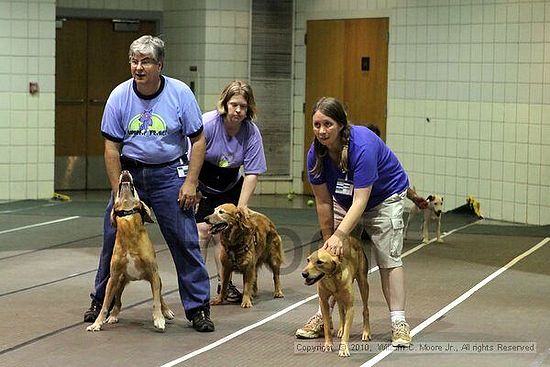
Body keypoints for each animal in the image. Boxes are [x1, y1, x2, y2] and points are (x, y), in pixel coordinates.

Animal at [87, 172, 175, 334]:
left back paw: (166, 311)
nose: (125, 171)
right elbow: (104, 306)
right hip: (120, 282)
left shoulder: (153, 273)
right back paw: (113, 315)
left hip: (156, 279)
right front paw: (97, 323)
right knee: (118, 302)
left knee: (160, 297)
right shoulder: (113, 277)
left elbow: (156, 301)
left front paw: (159, 319)